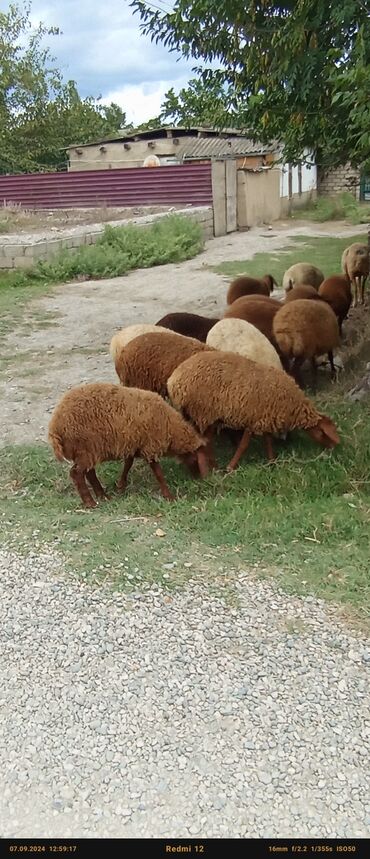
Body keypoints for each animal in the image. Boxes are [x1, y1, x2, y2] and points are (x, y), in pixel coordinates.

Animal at [48, 382, 210, 504]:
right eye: (197, 459)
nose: (197, 478)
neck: (171, 427)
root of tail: (55, 426)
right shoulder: (151, 445)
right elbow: (158, 473)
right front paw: (169, 496)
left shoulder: (134, 444)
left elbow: (128, 463)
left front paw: (121, 485)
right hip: (84, 448)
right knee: (76, 473)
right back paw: (90, 502)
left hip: (88, 451)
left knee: (89, 472)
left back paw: (103, 496)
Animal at [166, 350, 340, 470]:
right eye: (323, 433)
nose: (333, 448)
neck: (292, 406)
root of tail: (174, 381)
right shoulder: (252, 419)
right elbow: (244, 445)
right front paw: (230, 467)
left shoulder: (265, 417)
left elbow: (268, 441)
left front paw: (271, 462)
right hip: (204, 412)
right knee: (207, 441)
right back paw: (214, 467)